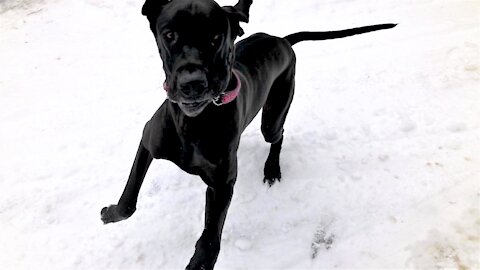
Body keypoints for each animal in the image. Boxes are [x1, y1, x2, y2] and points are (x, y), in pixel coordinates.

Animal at [100, 0, 394, 268]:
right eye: (169, 34)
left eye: (216, 38)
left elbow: (210, 243)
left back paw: (272, 168)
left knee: (279, 135)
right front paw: (109, 213)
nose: (192, 84)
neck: (194, 122)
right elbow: (128, 203)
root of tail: (282, 41)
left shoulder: (222, 185)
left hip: (273, 116)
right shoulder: (148, 141)